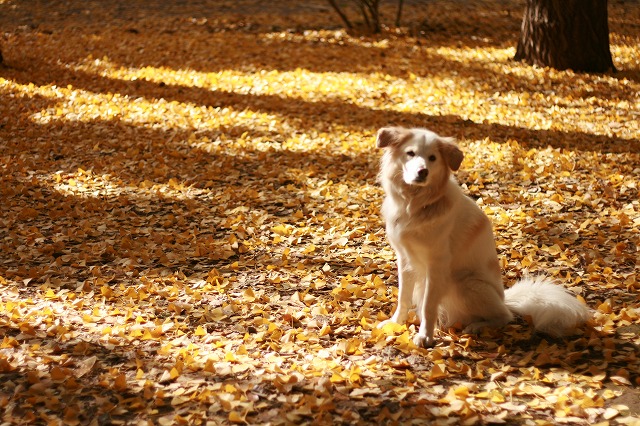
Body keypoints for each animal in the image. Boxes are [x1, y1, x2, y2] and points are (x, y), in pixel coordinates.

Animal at [376, 125, 592, 346]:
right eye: (410, 153)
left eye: (432, 158)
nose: (423, 171)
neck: (416, 205)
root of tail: (504, 299)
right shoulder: (405, 259)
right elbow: (403, 297)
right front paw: (396, 323)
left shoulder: (437, 265)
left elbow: (428, 305)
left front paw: (425, 336)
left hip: (464, 283)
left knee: (505, 316)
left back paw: (477, 326)